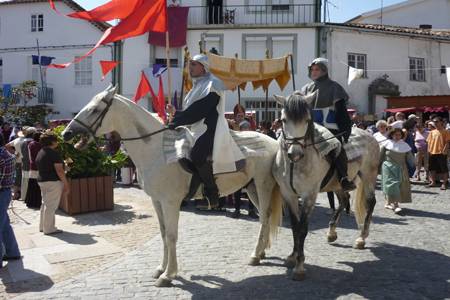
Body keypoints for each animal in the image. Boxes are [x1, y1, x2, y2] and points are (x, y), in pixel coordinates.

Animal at [61, 85, 284, 288]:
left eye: (95, 109)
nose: (66, 133)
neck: (154, 149)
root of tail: (273, 142)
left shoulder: (170, 202)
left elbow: (171, 235)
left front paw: (168, 275)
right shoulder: (156, 200)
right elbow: (162, 233)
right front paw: (161, 268)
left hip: (263, 186)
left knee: (264, 216)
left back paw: (255, 255)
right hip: (252, 188)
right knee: (265, 216)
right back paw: (262, 251)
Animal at [272, 91, 378, 282]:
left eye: (307, 120)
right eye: (283, 119)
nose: (295, 154)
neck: (293, 165)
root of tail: (367, 133)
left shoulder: (309, 195)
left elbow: (302, 229)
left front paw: (299, 266)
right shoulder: (288, 195)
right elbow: (294, 226)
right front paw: (292, 257)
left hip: (369, 175)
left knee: (369, 202)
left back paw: (361, 238)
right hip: (337, 183)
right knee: (344, 200)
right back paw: (331, 232)